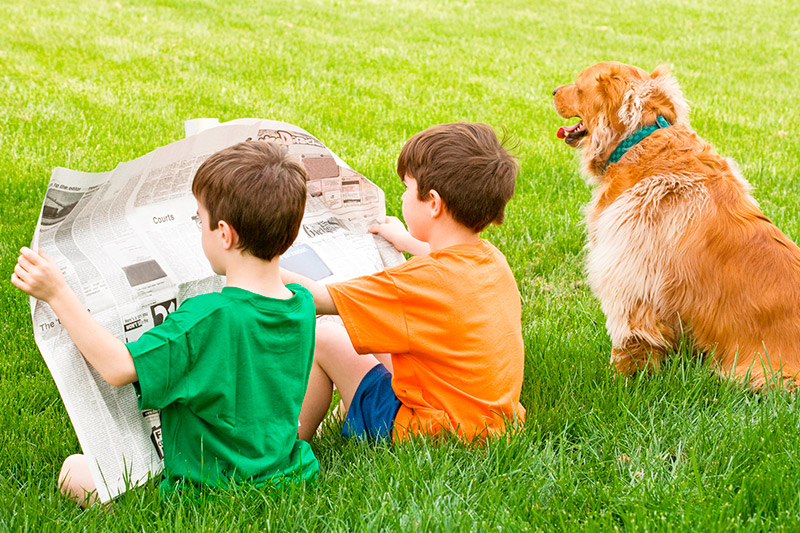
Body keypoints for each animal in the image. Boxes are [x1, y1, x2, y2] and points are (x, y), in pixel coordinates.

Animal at [552, 61, 800, 386]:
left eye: (578, 87)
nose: (553, 90)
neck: (639, 140)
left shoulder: (630, 276)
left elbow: (629, 341)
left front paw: (618, 380)